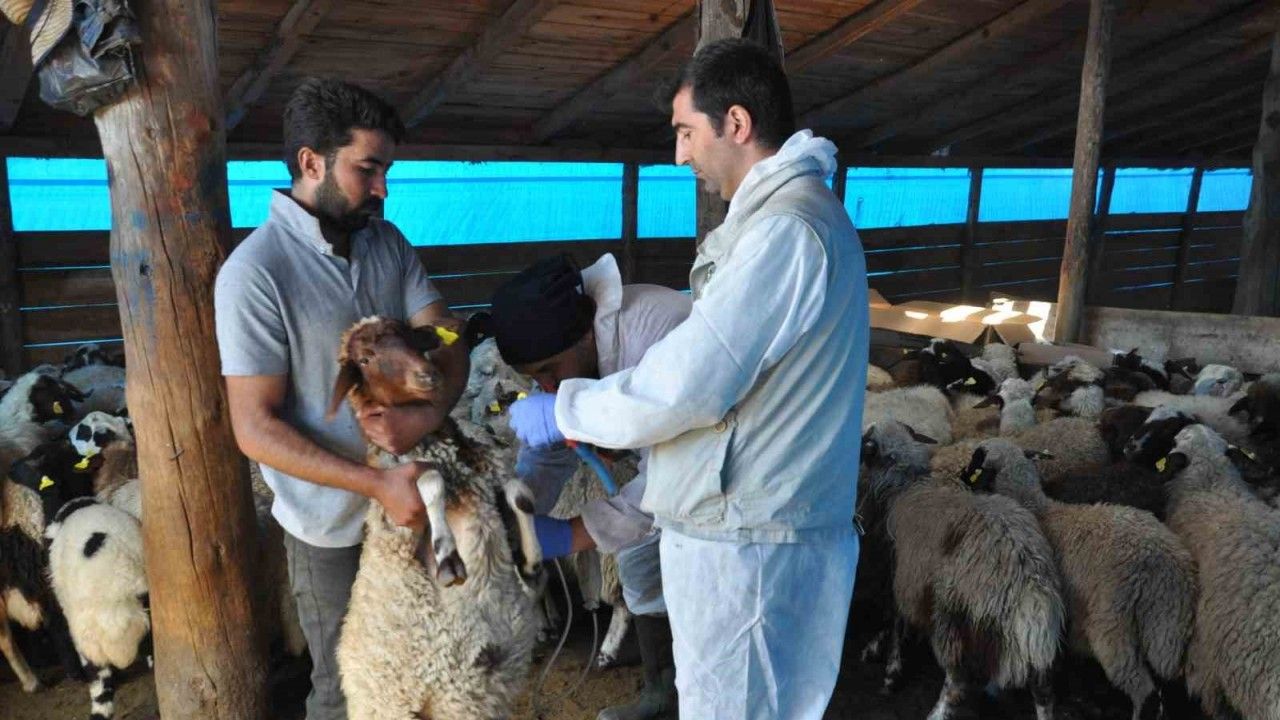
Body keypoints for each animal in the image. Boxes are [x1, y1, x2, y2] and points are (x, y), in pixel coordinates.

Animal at [330, 316, 543, 720]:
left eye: (413, 337)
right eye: (365, 359)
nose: (427, 375)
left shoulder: (489, 471)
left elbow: (520, 493)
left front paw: (531, 563)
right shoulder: (405, 490)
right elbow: (431, 482)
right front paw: (447, 558)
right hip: (422, 700)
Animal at [861, 420, 1064, 720]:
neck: (905, 481)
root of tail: (1029, 588)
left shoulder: (904, 572)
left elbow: (895, 620)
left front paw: (888, 668)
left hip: (953, 619)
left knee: (956, 683)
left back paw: (936, 713)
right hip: (1034, 643)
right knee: (1044, 693)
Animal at [962, 439, 1197, 720]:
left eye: (976, 459)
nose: (962, 475)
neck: (1041, 510)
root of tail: (1162, 565)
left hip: (1112, 624)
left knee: (1143, 689)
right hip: (1166, 624)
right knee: (1166, 679)